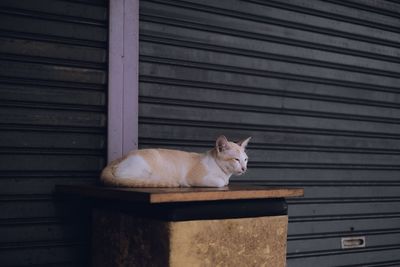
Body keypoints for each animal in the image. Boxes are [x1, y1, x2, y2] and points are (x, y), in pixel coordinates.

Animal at [100, 136, 250, 188]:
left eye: (245, 160)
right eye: (236, 160)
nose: (244, 169)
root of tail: (120, 157)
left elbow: (225, 182)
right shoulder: (197, 179)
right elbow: (221, 183)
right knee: (126, 177)